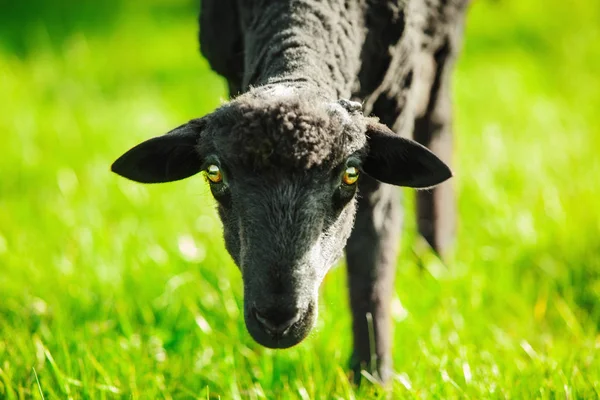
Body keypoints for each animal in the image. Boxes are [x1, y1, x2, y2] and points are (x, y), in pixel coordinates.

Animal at [111, 0, 468, 382]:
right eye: (214, 173)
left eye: (351, 174)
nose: (277, 320)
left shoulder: (397, 93)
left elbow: (373, 255)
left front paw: (371, 375)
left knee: (437, 117)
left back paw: (435, 258)